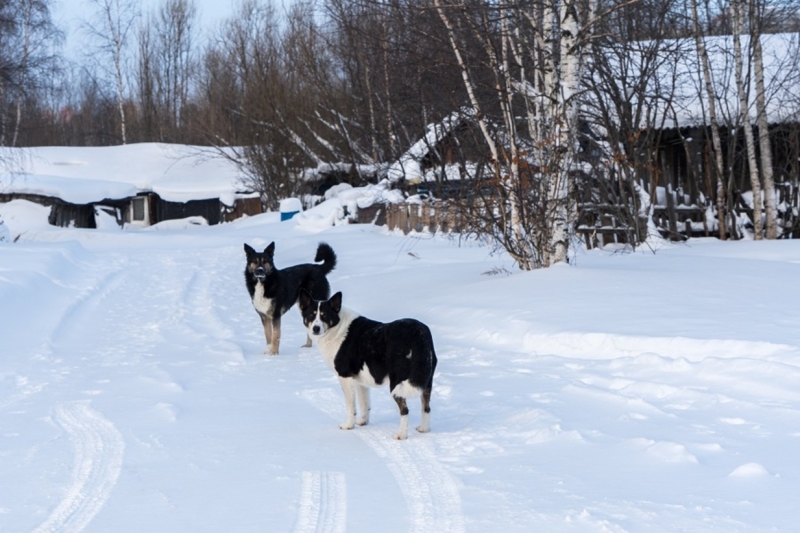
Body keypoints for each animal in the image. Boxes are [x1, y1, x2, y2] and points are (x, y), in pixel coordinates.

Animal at [298, 288, 438, 438]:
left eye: (324, 315)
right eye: (311, 315)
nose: (316, 328)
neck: (337, 327)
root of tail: (418, 333)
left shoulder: (345, 377)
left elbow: (350, 406)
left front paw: (349, 425)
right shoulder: (360, 381)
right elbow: (364, 404)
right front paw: (363, 422)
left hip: (398, 383)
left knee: (405, 410)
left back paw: (401, 435)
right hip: (425, 379)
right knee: (426, 407)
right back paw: (424, 429)